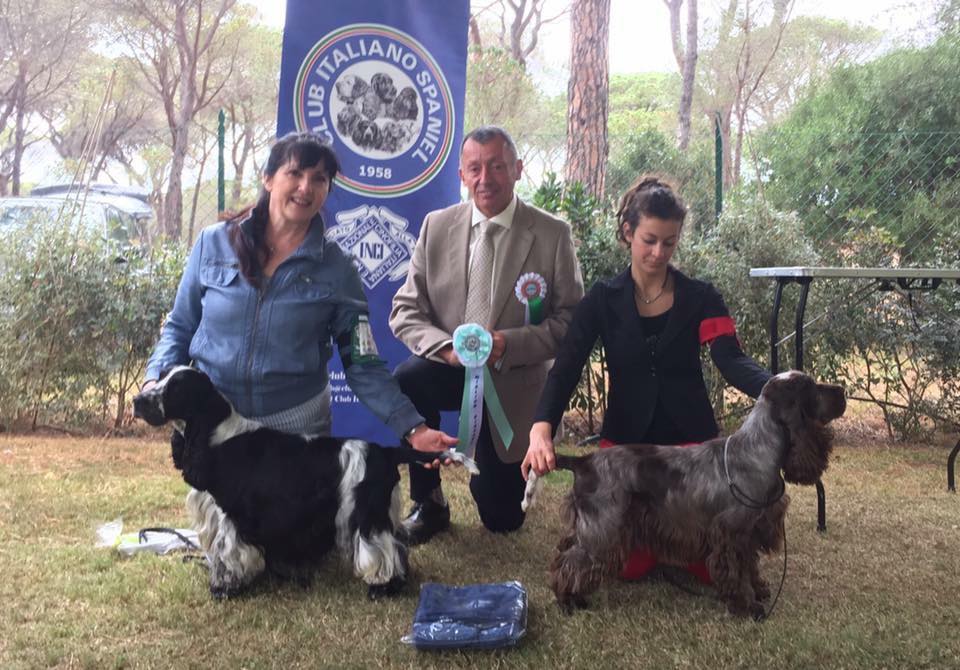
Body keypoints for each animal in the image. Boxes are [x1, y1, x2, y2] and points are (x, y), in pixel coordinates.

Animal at [132, 366, 477, 600]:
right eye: (160, 377)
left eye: (176, 388)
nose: (137, 400)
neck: (216, 437)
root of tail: (385, 451)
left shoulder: (230, 517)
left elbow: (230, 554)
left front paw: (226, 588)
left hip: (366, 515)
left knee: (384, 552)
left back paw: (383, 588)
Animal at [522, 370, 846, 619]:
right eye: (811, 387)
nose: (842, 390)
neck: (757, 450)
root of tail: (583, 461)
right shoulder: (732, 534)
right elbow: (737, 572)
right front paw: (748, 606)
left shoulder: (751, 531)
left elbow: (750, 566)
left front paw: (760, 591)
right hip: (603, 531)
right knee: (570, 563)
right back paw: (568, 600)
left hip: (589, 527)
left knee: (564, 550)